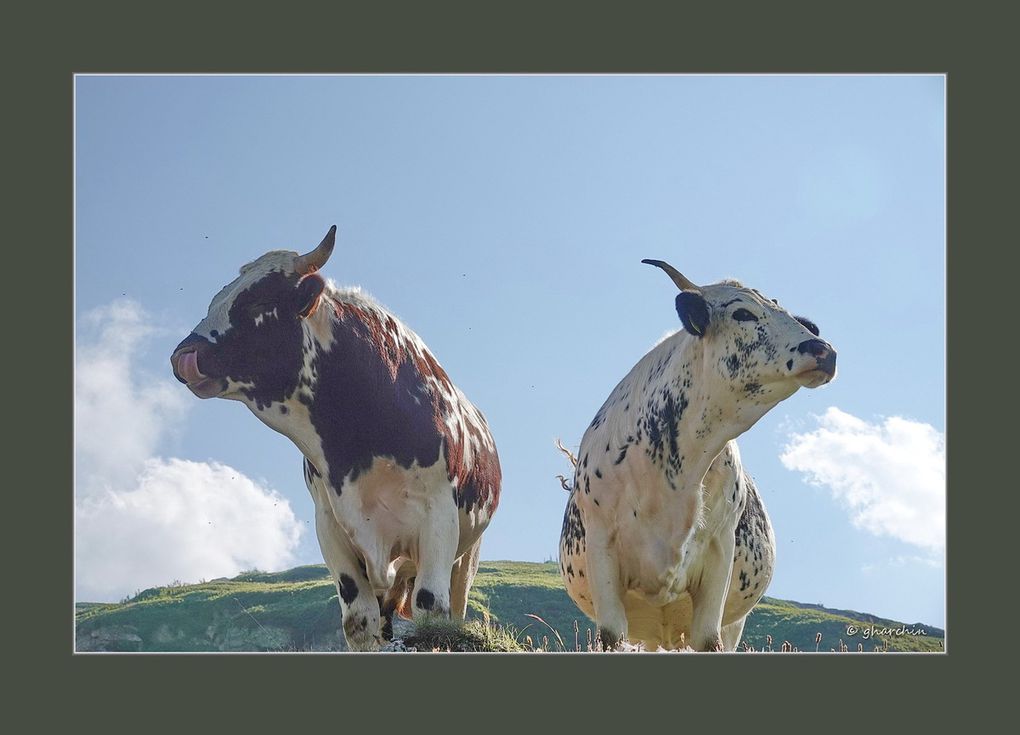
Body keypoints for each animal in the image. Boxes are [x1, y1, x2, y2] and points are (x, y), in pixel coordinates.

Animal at [172, 226, 501, 652]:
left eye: (258, 300)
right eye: (216, 299)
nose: (183, 357)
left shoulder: (438, 516)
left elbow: (432, 609)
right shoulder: (330, 524)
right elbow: (359, 620)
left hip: (467, 552)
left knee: (454, 607)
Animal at [558, 260, 836, 652]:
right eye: (743, 312)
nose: (823, 350)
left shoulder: (720, 552)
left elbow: (709, 638)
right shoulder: (602, 548)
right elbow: (611, 634)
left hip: (734, 619)